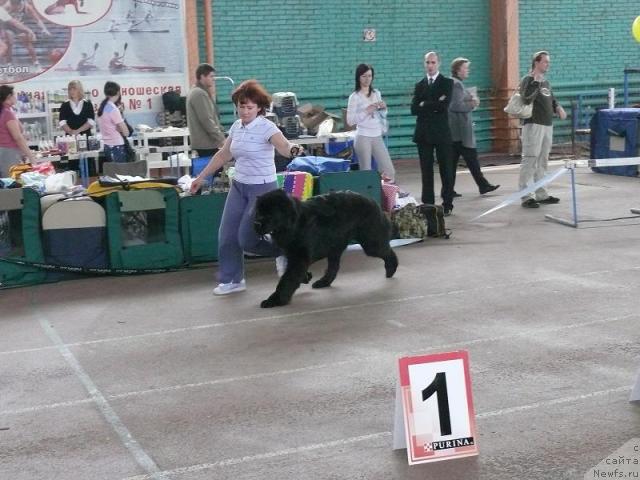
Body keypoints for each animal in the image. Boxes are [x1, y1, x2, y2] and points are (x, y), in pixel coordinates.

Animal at [252, 188, 398, 308]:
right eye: (258, 211)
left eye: (269, 213)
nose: (256, 224)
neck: (294, 223)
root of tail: (374, 202)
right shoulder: (293, 255)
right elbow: (292, 275)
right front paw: (305, 277)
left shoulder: (299, 257)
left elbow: (287, 279)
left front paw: (275, 300)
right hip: (335, 246)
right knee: (333, 267)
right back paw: (323, 282)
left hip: (371, 243)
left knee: (388, 252)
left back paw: (391, 268)